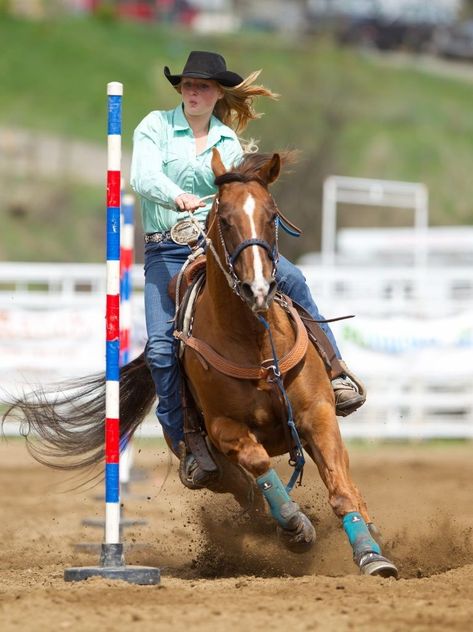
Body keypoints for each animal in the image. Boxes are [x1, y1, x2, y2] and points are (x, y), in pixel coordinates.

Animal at [4, 151, 398, 580]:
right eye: (224, 218)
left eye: (272, 215)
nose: (258, 288)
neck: (256, 344)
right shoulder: (226, 429)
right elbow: (260, 465)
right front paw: (296, 526)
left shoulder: (317, 414)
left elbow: (341, 490)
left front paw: (371, 555)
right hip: (213, 465)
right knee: (247, 492)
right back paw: (281, 526)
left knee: (338, 482)